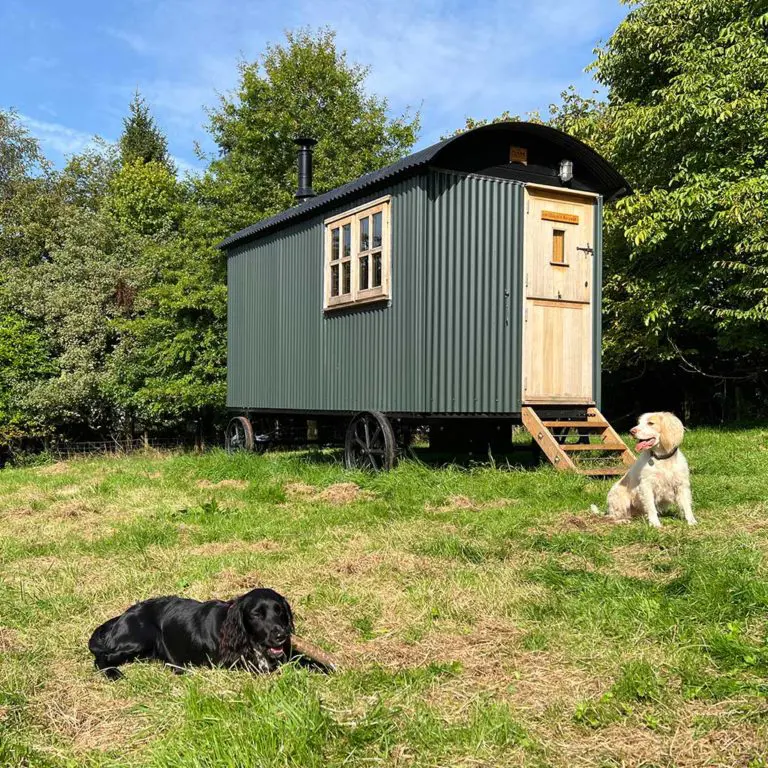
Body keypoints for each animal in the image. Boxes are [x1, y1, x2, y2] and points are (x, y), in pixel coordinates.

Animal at [87, 588, 296, 680]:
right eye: (256, 614)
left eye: (279, 611)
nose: (281, 635)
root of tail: (122, 616)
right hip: (140, 639)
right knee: (101, 657)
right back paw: (113, 673)